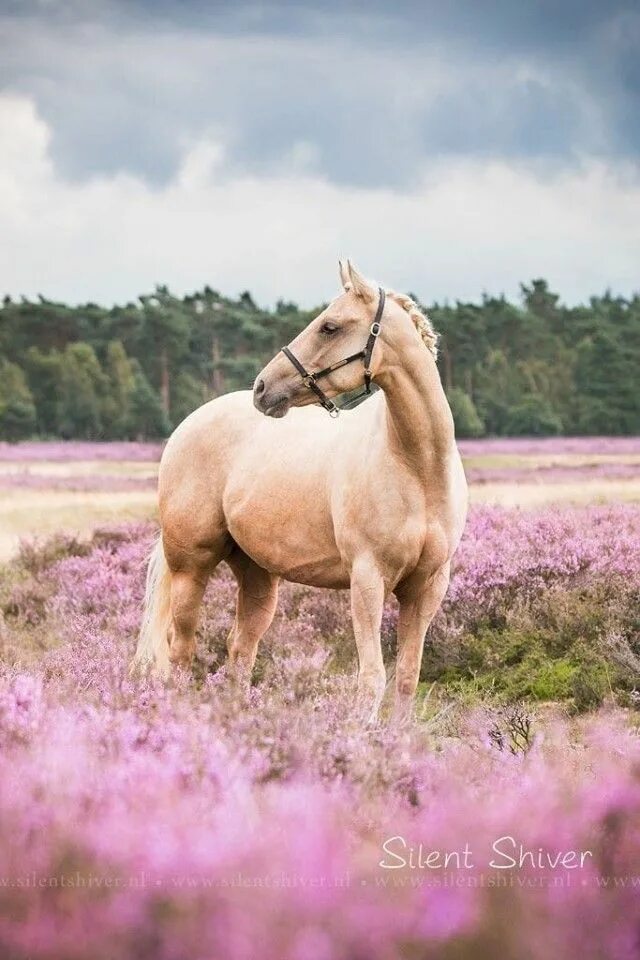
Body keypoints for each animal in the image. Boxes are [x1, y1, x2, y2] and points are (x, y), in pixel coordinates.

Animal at [132, 258, 468, 716]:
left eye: (329, 326)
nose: (262, 388)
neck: (418, 469)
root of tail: (187, 425)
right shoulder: (367, 580)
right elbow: (372, 680)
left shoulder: (426, 588)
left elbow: (405, 679)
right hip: (191, 567)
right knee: (180, 649)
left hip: (257, 576)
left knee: (240, 650)